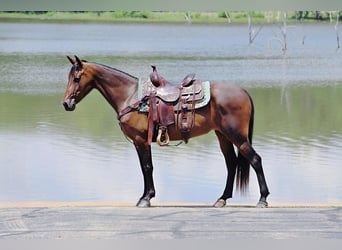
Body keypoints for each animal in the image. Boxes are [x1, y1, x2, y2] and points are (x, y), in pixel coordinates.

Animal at [61, 55, 270, 208]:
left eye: (77, 78)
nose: (66, 104)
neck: (130, 96)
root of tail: (243, 92)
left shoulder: (140, 140)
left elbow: (147, 167)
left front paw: (146, 198)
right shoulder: (139, 142)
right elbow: (145, 167)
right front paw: (145, 196)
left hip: (237, 136)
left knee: (255, 160)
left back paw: (263, 199)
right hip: (223, 136)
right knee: (231, 164)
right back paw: (222, 199)